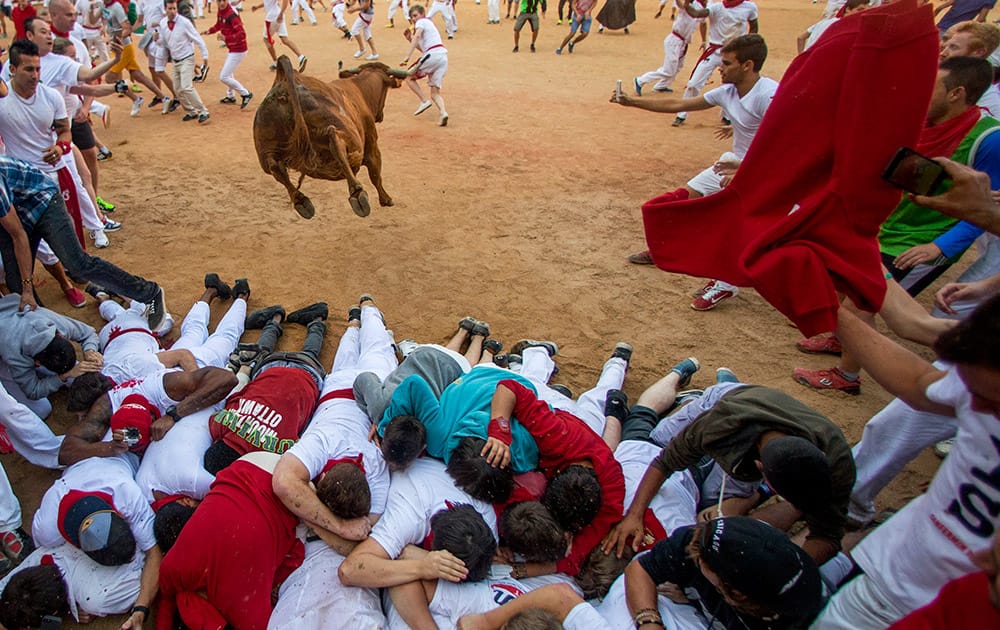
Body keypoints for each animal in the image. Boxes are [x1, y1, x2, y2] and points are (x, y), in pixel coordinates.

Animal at [252, 55, 408, 222]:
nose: (380, 116)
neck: (358, 88)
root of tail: (284, 89)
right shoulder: (372, 144)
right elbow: (375, 173)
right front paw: (386, 199)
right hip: (348, 136)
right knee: (334, 138)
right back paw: (357, 195)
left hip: (265, 150)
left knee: (274, 166)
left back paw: (302, 202)